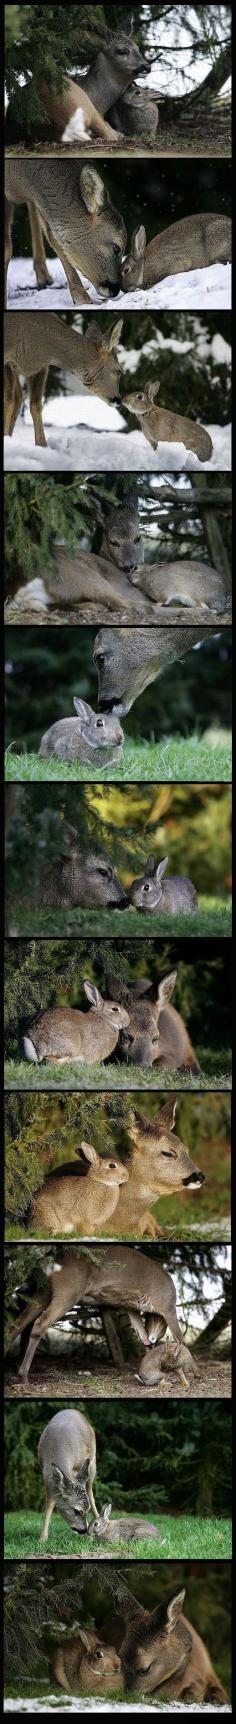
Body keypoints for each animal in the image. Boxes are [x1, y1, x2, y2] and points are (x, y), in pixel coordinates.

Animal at [3, 312, 122, 444]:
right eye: (119, 371)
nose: (119, 399)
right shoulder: (8, 361)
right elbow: (9, 402)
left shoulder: (41, 367)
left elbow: (36, 405)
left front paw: (42, 445)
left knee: (19, 396)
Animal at [5, 161, 127, 306]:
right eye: (116, 248)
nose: (115, 289)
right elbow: (7, 249)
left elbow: (56, 239)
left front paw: (81, 298)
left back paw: (44, 277)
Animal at [10, 1234, 198, 1379]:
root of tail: (51, 1262)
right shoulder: (167, 1306)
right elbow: (181, 1339)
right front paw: (195, 1372)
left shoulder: (131, 1307)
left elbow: (143, 1337)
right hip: (69, 1290)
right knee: (40, 1323)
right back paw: (23, 1375)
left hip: (44, 1292)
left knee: (18, 1324)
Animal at [37, 1406, 97, 1544]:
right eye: (77, 1511)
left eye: (87, 1510)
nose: (84, 1530)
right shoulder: (46, 1475)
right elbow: (50, 1502)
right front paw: (42, 1538)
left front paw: (90, 1537)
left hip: (93, 1464)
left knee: (91, 1492)